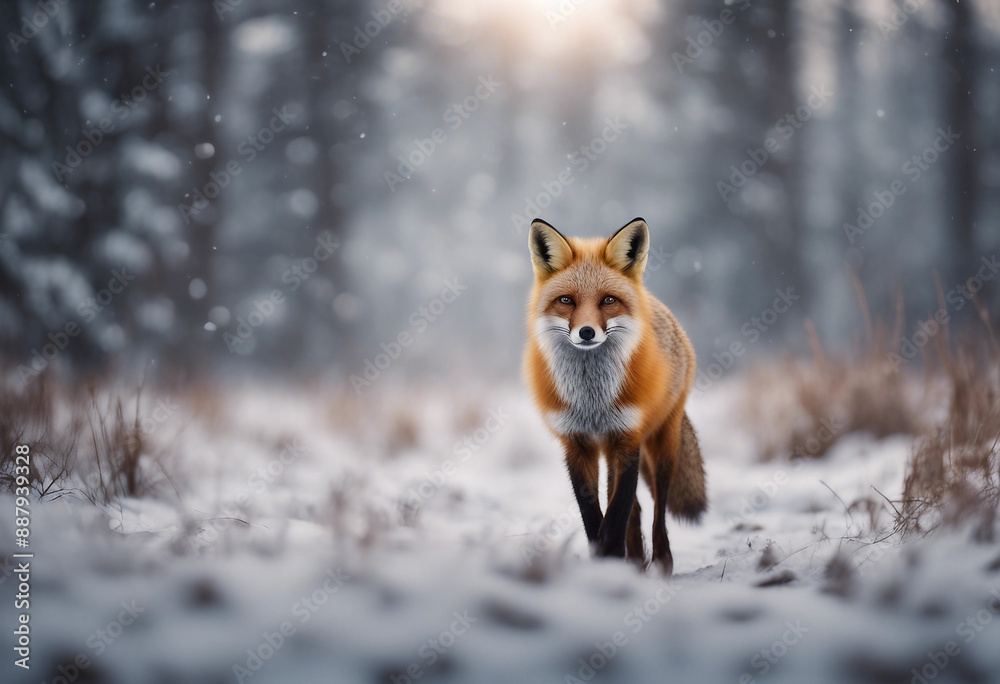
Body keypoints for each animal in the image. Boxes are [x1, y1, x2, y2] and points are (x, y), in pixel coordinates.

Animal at [524, 217, 706, 575]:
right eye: (567, 301)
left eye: (608, 300)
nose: (586, 333)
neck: (592, 400)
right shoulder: (577, 444)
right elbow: (594, 515)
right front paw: (607, 562)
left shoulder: (627, 439)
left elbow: (616, 514)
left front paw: (612, 557)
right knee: (636, 507)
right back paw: (635, 559)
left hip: (663, 442)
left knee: (658, 504)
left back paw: (661, 561)